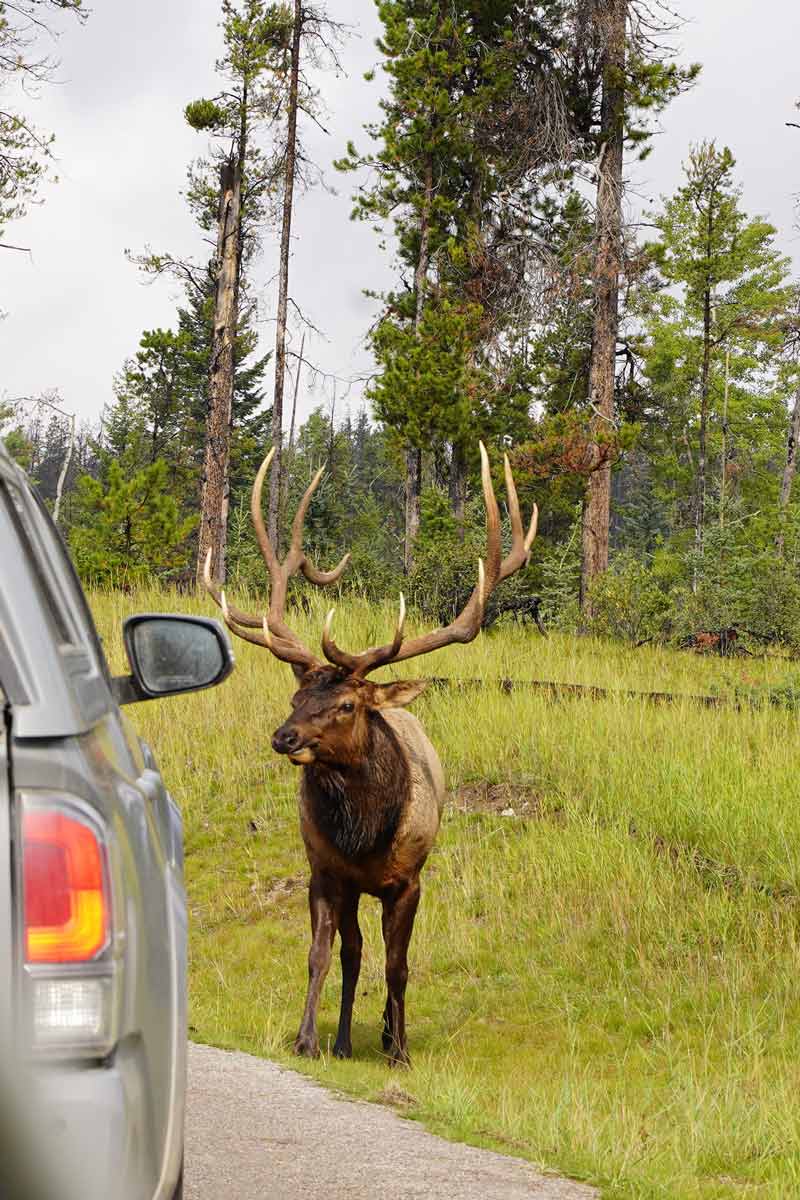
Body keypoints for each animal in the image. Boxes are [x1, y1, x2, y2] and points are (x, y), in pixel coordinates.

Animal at [203, 446, 537, 1065]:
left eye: (346, 705)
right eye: (297, 697)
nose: (284, 737)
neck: (364, 833)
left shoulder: (407, 881)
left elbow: (399, 966)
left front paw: (399, 1048)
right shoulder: (325, 871)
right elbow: (321, 955)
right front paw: (308, 1038)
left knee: (381, 957)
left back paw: (383, 1034)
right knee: (353, 952)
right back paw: (341, 1040)